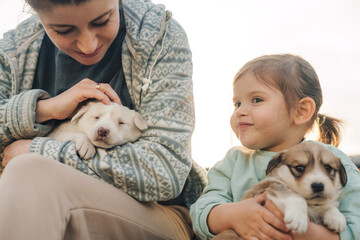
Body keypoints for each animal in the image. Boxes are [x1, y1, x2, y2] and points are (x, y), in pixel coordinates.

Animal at [214, 142, 346, 239]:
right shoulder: (274, 188)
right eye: (299, 168)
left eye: (328, 168)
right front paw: (298, 219)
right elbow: (297, 197)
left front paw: (336, 217)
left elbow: (327, 205)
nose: (318, 186)